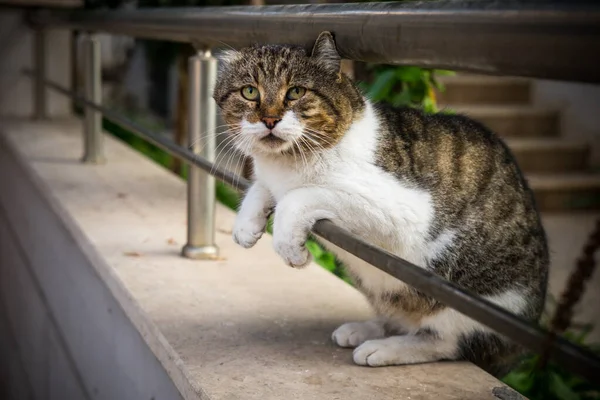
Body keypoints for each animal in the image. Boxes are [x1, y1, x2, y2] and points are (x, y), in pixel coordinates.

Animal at [211, 32, 548, 378]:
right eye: (250, 92)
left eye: (296, 92)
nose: (269, 119)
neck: (287, 164)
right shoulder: (272, 177)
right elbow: (263, 187)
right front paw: (246, 225)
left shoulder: (408, 211)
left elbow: (300, 196)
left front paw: (290, 247)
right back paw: (367, 329)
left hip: (470, 305)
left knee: (444, 342)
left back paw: (384, 348)